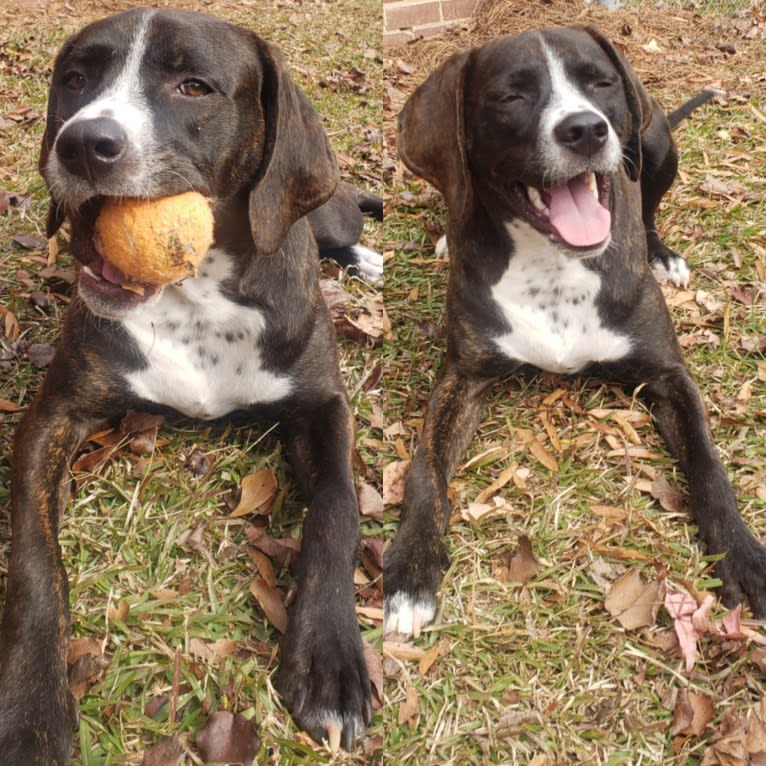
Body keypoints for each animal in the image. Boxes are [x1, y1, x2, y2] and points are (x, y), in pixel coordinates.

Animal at [0, 9, 380, 764]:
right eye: (75, 78)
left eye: (194, 86)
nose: (82, 143)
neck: (195, 292)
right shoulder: (52, 417)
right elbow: (33, 559)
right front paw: (30, 708)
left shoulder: (324, 408)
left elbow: (337, 512)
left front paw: (330, 660)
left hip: (327, 208)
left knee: (343, 217)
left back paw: (359, 255)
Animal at [388, 25, 766, 636]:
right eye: (510, 96)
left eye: (600, 82)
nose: (586, 129)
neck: (555, 266)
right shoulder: (461, 378)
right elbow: (425, 468)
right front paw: (410, 570)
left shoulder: (668, 375)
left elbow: (709, 464)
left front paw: (742, 554)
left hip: (655, 143)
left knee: (650, 203)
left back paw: (663, 253)